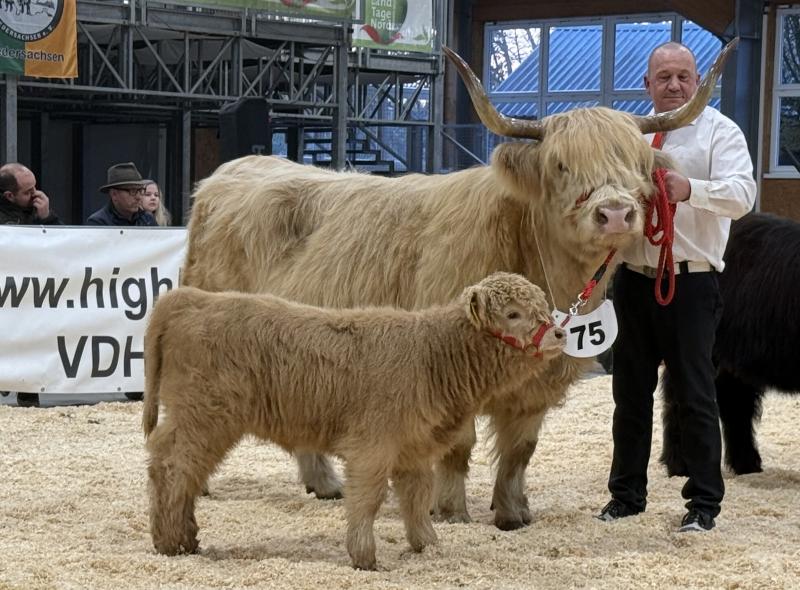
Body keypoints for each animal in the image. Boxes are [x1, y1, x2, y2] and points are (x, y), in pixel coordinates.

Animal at [143, 273, 565, 570]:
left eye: (542, 306)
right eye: (512, 314)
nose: (560, 332)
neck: (431, 356)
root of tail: (192, 298)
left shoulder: (414, 450)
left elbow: (416, 499)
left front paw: (428, 546)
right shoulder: (372, 447)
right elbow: (368, 498)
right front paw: (365, 557)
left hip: (203, 422)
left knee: (185, 473)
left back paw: (187, 538)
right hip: (203, 418)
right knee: (172, 467)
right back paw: (169, 542)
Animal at [181, 41, 737, 530]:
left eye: (638, 166)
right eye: (561, 164)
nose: (616, 212)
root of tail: (230, 171)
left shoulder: (538, 383)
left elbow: (520, 449)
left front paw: (513, 512)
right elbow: (459, 445)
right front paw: (449, 510)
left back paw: (325, 484)